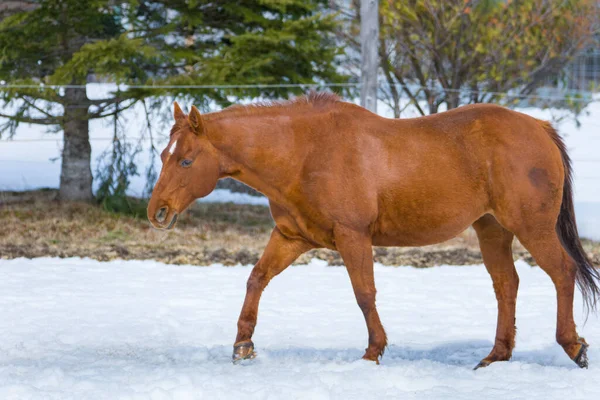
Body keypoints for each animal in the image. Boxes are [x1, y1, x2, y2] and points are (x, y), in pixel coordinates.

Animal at [148, 93, 596, 368]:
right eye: (164, 154)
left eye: (186, 160)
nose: (157, 212)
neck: (305, 153)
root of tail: (540, 128)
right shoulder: (292, 238)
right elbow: (256, 278)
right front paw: (243, 344)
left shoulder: (352, 236)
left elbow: (364, 294)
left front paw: (373, 351)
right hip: (492, 229)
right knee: (506, 284)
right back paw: (497, 356)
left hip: (531, 226)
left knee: (562, 272)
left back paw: (573, 346)